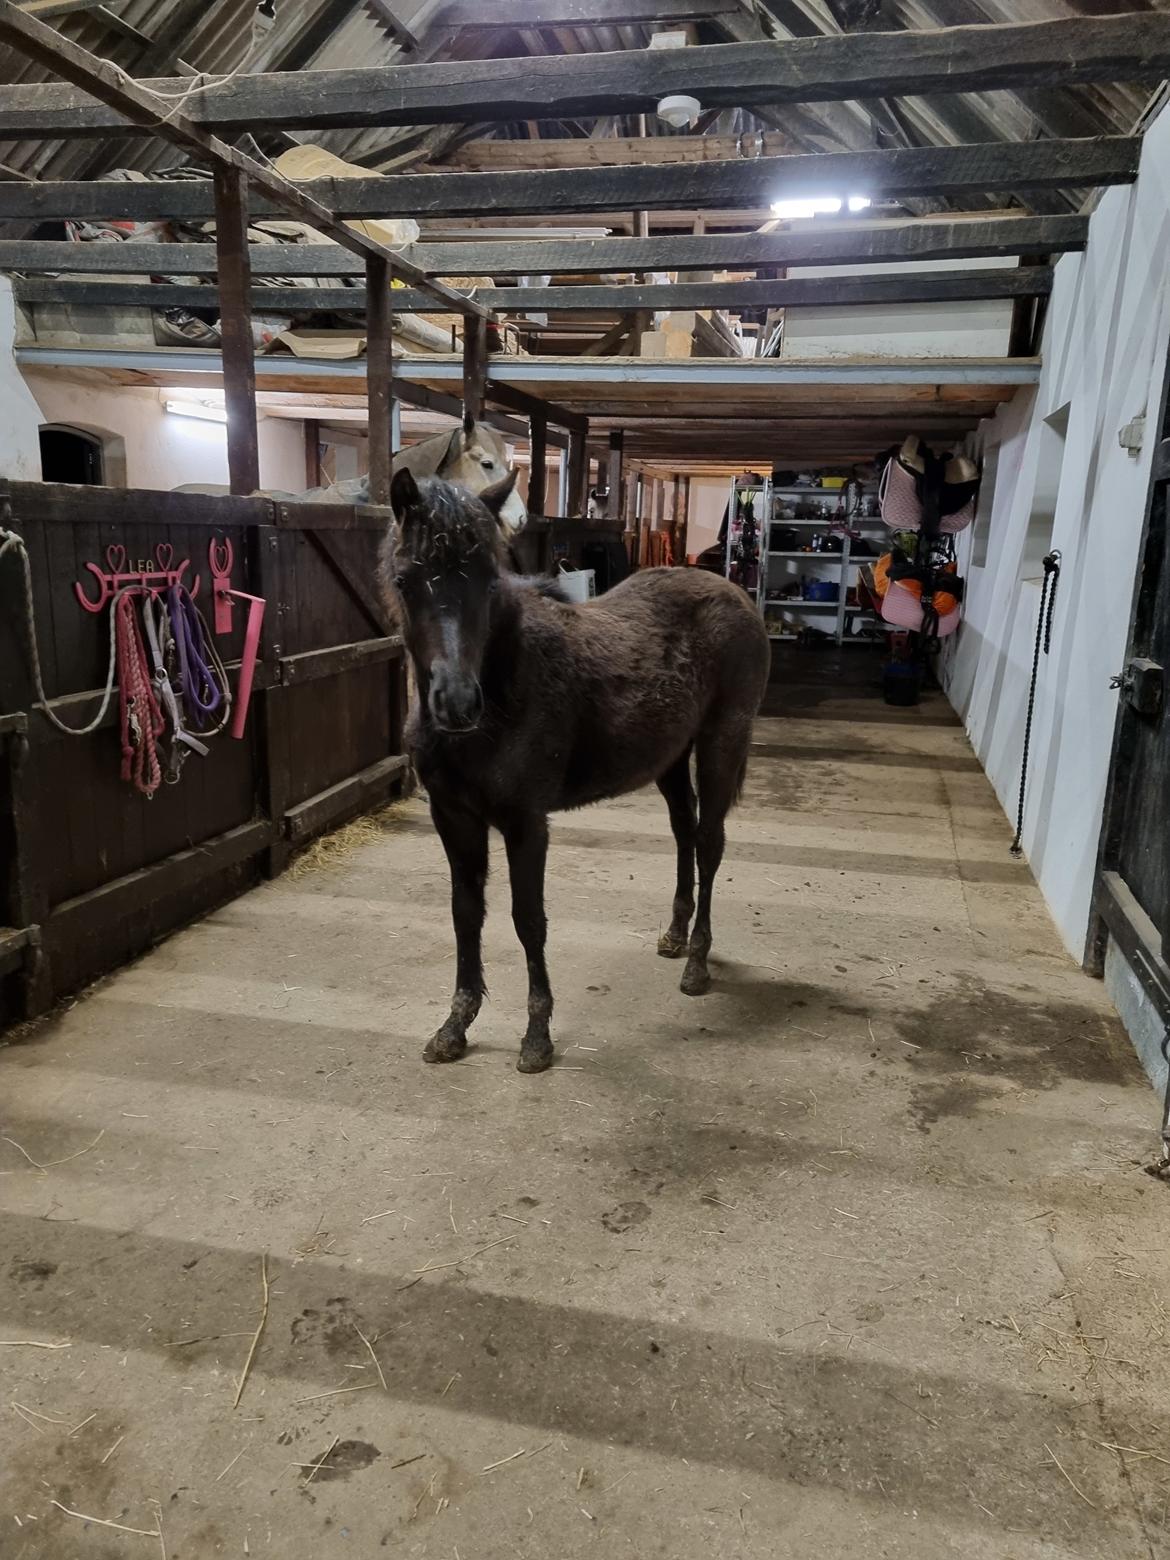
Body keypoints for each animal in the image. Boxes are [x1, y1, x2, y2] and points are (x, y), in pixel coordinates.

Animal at [381, 468, 771, 1075]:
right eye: (405, 579)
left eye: (489, 581)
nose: (458, 704)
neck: (506, 680)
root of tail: (735, 596)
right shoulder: (453, 817)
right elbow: (466, 912)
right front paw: (454, 1026)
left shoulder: (526, 823)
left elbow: (528, 919)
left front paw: (536, 1037)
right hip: (670, 758)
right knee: (684, 834)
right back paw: (674, 935)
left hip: (719, 744)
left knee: (709, 843)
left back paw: (697, 963)